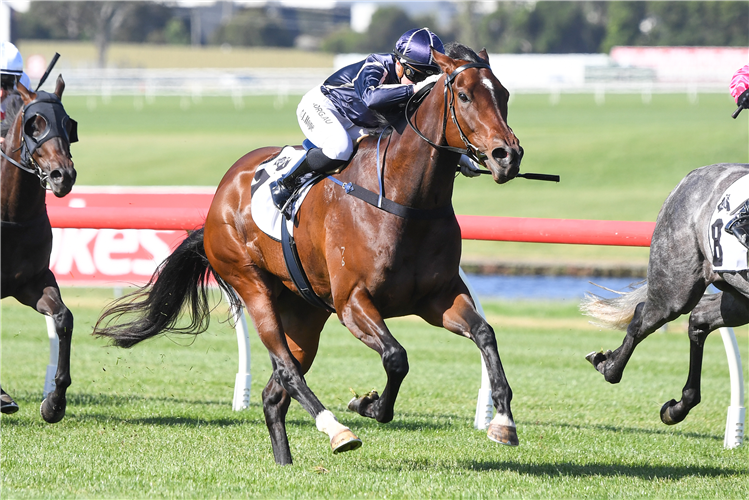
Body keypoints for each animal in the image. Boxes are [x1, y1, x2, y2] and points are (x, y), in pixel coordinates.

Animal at [93, 44, 524, 464]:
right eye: (464, 95)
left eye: (503, 94)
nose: (507, 155)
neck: (404, 200)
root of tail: (219, 199)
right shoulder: (353, 302)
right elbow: (396, 356)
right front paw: (366, 404)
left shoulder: (438, 297)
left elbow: (485, 334)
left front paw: (502, 422)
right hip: (251, 284)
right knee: (287, 370)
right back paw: (337, 431)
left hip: (305, 313)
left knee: (273, 394)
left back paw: (285, 461)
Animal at [580, 163, 748, 426]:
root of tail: (692, 175)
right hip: (677, 289)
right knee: (642, 318)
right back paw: (608, 366)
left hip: (738, 296)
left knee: (699, 319)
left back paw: (677, 406)